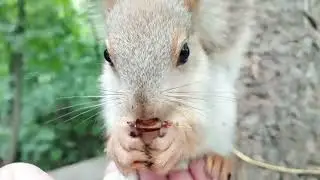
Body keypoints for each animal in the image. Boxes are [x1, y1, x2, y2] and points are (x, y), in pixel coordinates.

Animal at [86, 0, 254, 179]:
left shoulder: (206, 92)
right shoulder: (111, 95)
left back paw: (220, 161)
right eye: (106, 55)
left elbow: (198, 127)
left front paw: (177, 139)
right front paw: (119, 144)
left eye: (185, 52)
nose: (143, 110)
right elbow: (115, 119)